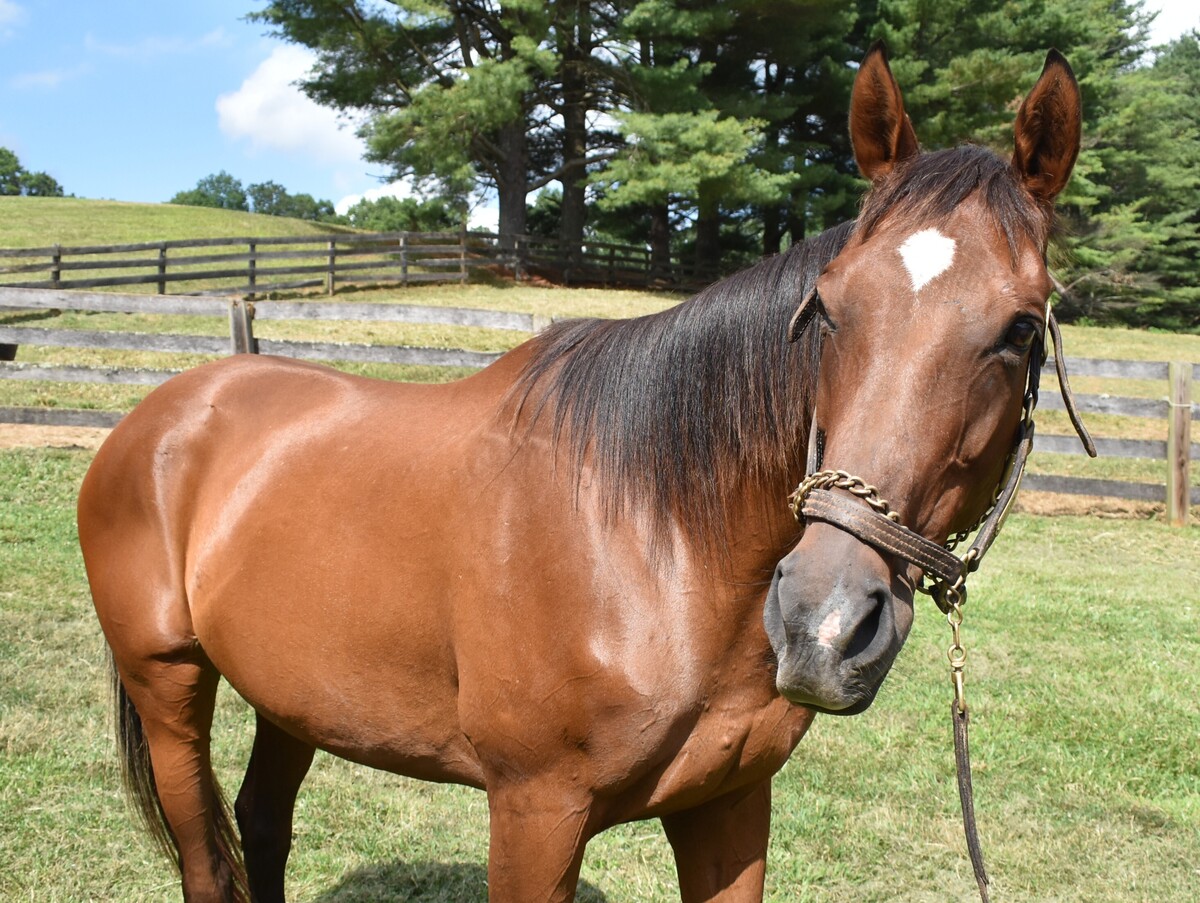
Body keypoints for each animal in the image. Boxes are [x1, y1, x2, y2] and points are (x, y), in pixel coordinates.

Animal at [79, 45, 1083, 902]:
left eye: (1021, 328)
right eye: (827, 307)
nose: (822, 623)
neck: (654, 542)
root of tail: (158, 416)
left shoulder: (729, 803)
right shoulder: (534, 811)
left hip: (293, 696)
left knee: (264, 821)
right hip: (168, 684)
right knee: (208, 855)